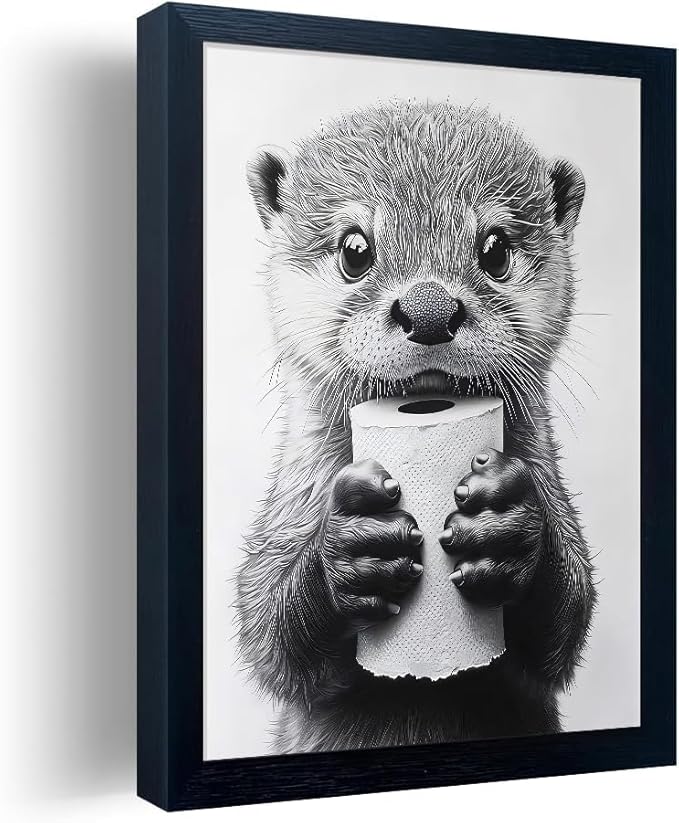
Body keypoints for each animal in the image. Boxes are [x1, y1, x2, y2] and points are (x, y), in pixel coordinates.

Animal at [236, 101, 596, 752]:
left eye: (495, 250)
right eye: (355, 250)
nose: (430, 309)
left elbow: (567, 620)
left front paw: (509, 528)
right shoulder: (282, 518)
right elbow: (267, 631)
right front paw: (351, 549)